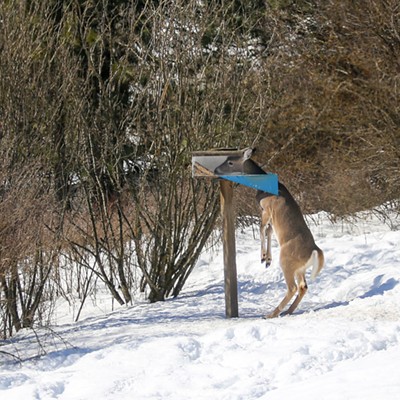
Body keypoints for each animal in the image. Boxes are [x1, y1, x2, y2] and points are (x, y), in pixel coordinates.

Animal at [214, 148, 324, 318]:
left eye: (230, 162)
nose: (216, 170)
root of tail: (315, 250)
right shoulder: (270, 217)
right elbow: (269, 232)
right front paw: (267, 259)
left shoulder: (266, 208)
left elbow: (261, 229)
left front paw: (263, 257)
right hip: (300, 268)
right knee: (303, 286)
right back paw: (288, 311)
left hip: (286, 261)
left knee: (292, 287)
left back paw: (271, 314)